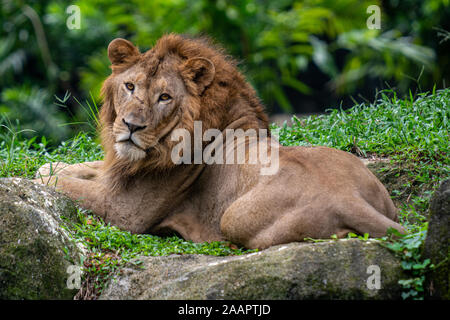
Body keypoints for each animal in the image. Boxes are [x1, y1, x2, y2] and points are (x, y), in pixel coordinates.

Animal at [35, 35, 406, 250]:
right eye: (130, 87)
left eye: (165, 97)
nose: (130, 126)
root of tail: (347, 197)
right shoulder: (119, 172)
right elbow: (66, 169)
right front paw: (53, 165)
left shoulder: (123, 211)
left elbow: (60, 183)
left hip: (233, 216)